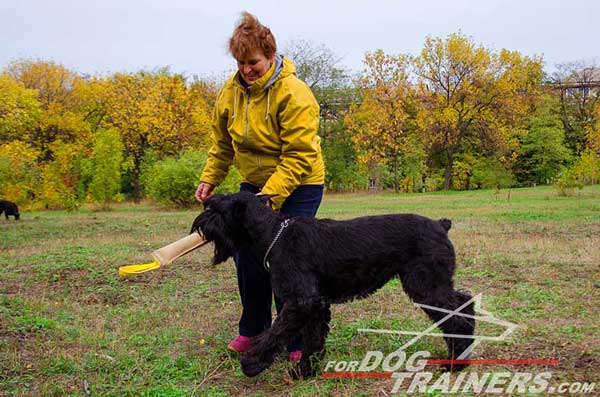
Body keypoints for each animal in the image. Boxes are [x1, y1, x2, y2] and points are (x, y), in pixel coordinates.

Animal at [192, 192, 474, 378]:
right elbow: (313, 337)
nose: (199, 225)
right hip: (434, 285)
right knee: (464, 304)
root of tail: (441, 225)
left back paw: (455, 364)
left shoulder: (301, 301)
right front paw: (305, 371)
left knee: (457, 316)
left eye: (215, 208)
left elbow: (275, 332)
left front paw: (251, 362)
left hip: (426, 286)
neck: (274, 234)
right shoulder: (316, 305)